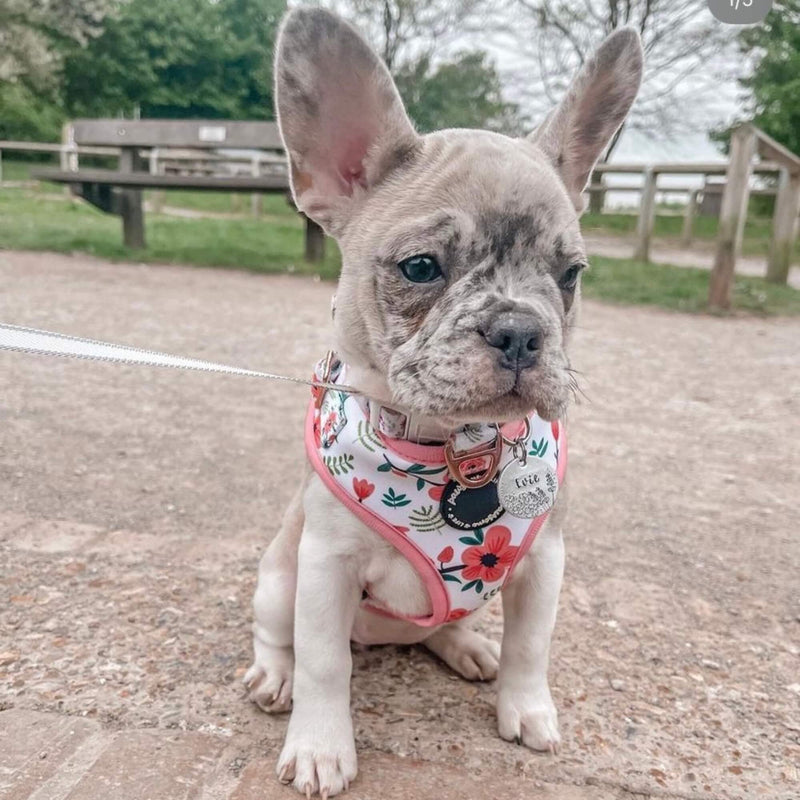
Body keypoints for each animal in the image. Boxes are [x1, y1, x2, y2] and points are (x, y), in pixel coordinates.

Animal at [244, 9, 644, 796]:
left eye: (572, 275)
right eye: (421, 268)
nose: (519, 329)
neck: (454, 444)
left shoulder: (544, 559)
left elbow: (531, 646)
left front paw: (527, 709)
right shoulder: (324, 565)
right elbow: (325, 665)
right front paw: (320, 747)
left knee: (452, 627)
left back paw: (468, 650)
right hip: (279, 577)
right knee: (281, 637)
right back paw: (275, 677)